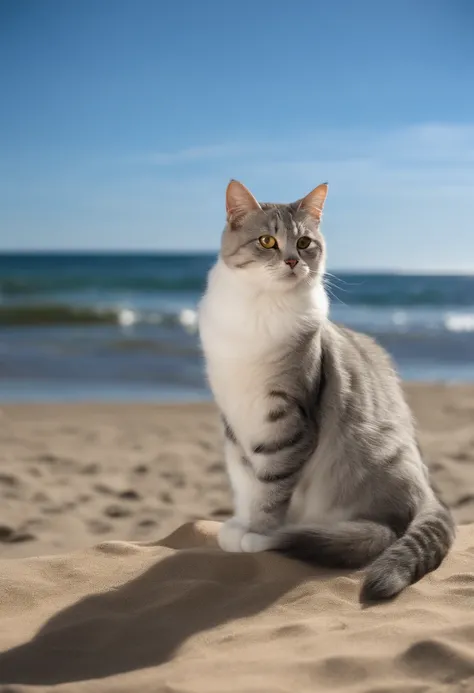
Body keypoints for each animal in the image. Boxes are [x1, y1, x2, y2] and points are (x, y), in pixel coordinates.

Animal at [197, 178, 456, 600]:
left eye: (304, 243)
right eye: (267, 241)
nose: (291, 261)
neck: (259, 310)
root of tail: (430, 492)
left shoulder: (287, 421)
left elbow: (270, 489)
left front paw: (258, 532)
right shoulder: (235, 419)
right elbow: (244, 480)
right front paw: (240, 523)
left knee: (380, 533)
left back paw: (298, 535)